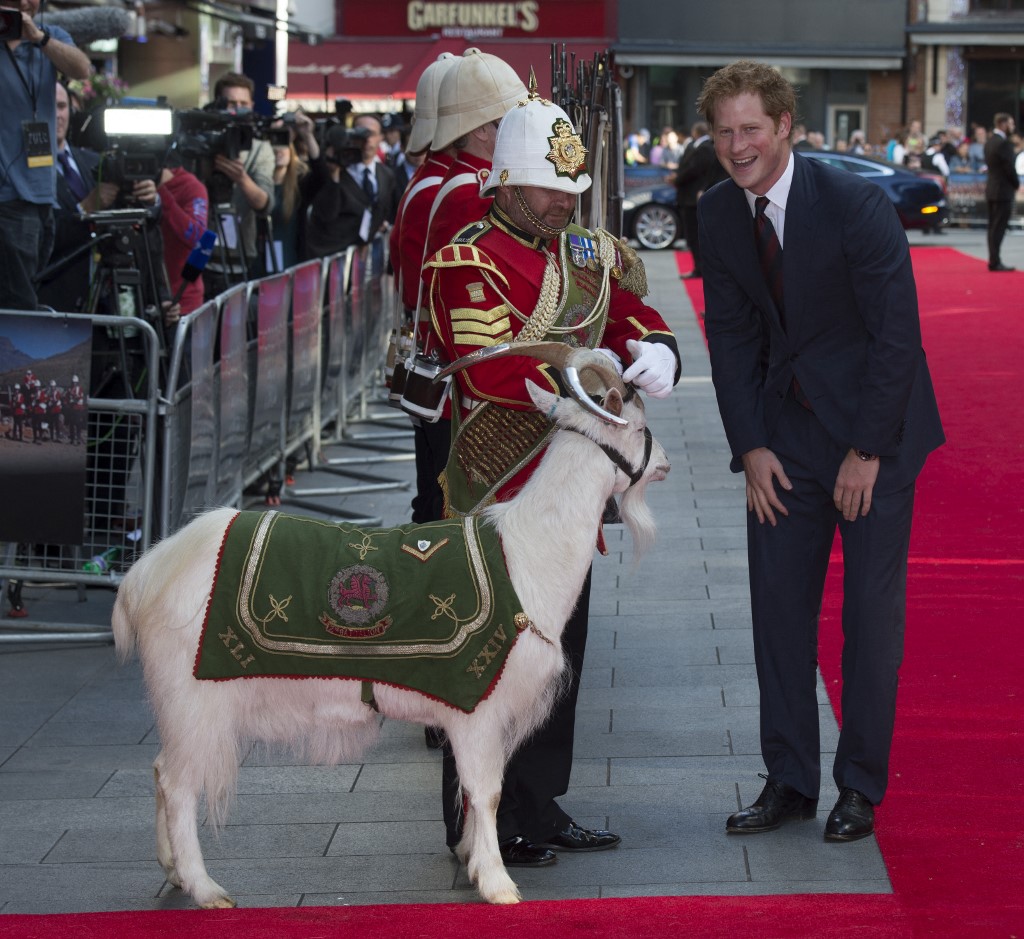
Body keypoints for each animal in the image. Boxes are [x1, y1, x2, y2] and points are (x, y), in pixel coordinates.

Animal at [112, 344, 671, 909]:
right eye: (643, 426)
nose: (666, 463)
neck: (524, 553)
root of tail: (145, 574)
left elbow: (471, 791)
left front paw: (471, 858)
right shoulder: (478, 704)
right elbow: (486, 791)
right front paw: (498, 884)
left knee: (160, 770)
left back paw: (174, 871)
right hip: (190, 694)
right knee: (179, 783)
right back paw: (205, 888)